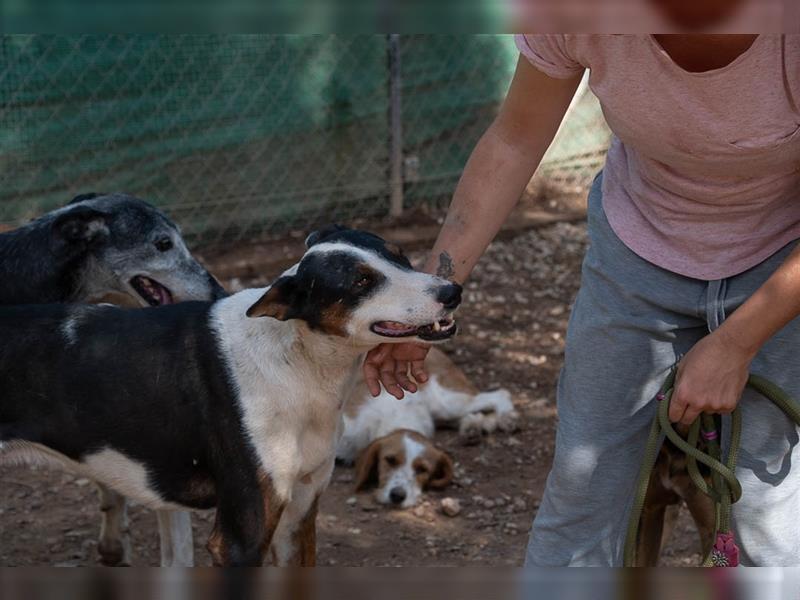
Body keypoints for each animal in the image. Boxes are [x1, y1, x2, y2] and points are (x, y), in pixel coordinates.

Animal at [338, 350, 520, 508]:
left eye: (422, 469)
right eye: (390, 460)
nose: (397, 496)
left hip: (446, 403)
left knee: (500, 395)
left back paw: (502, 419)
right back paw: (474, 426)